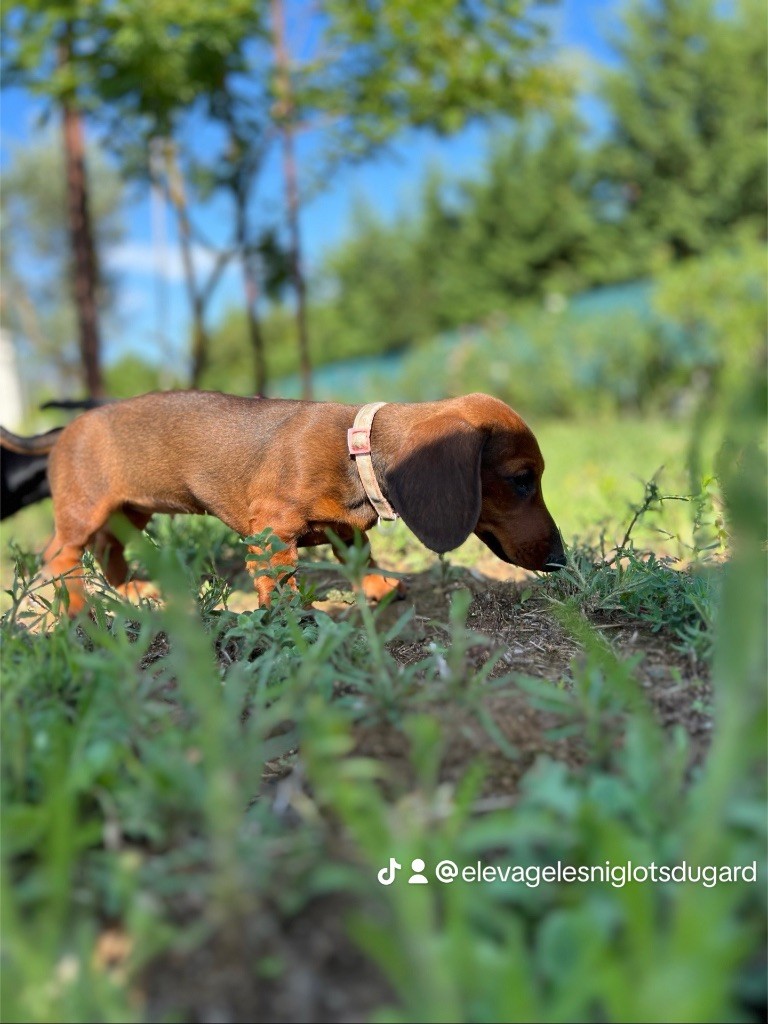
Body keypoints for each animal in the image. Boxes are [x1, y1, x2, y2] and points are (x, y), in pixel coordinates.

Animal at [0, 389, 565, 614]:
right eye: (521, 479)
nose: (562, 558)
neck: (355, 450)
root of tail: (62, 430)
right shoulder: (273, 528)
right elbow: (282, 577)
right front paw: (295, 614)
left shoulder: (343, 528)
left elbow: (358, 556)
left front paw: (376, 586)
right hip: (85, 510)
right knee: (61, 555)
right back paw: (77, 607)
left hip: (130, 512)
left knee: (107, 551)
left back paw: (131, 590)